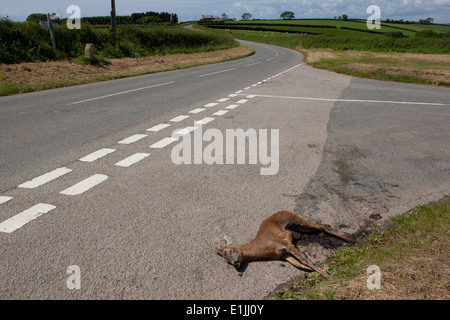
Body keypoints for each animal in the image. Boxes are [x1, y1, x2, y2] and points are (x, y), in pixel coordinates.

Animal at [214, 210, 356, 278]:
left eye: (231, 251)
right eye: (226, 261)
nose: (235, 263)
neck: (266, 247)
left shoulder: (285, 243)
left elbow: (304, 260)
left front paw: (325, 274)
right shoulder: (282, 254)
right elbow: (297, 264)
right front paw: (319, 270)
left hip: (296, 219)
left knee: (321, 227)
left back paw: (348, 238)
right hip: (299, 227)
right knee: (319, 228)